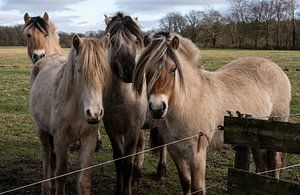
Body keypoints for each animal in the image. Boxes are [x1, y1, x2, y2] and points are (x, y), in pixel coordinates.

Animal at [29, 34, 110, 194]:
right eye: (79, 71)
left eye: (104, 72)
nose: (94, 114)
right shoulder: (61, 139)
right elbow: (61, 175)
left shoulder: (89, 139)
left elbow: (84, 181)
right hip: (42, 130)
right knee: (46, 157)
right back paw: (46, 187)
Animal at [132, 31, 290, 194]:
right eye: (146, 70)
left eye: (173, 69)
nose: (157, 108)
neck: (190, 102)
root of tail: (275, 67)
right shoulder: (175, 150)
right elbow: (185, 183)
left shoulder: (197, 155)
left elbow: (197, 188)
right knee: (262, 165)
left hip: (277, 125)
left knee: (276, 162)